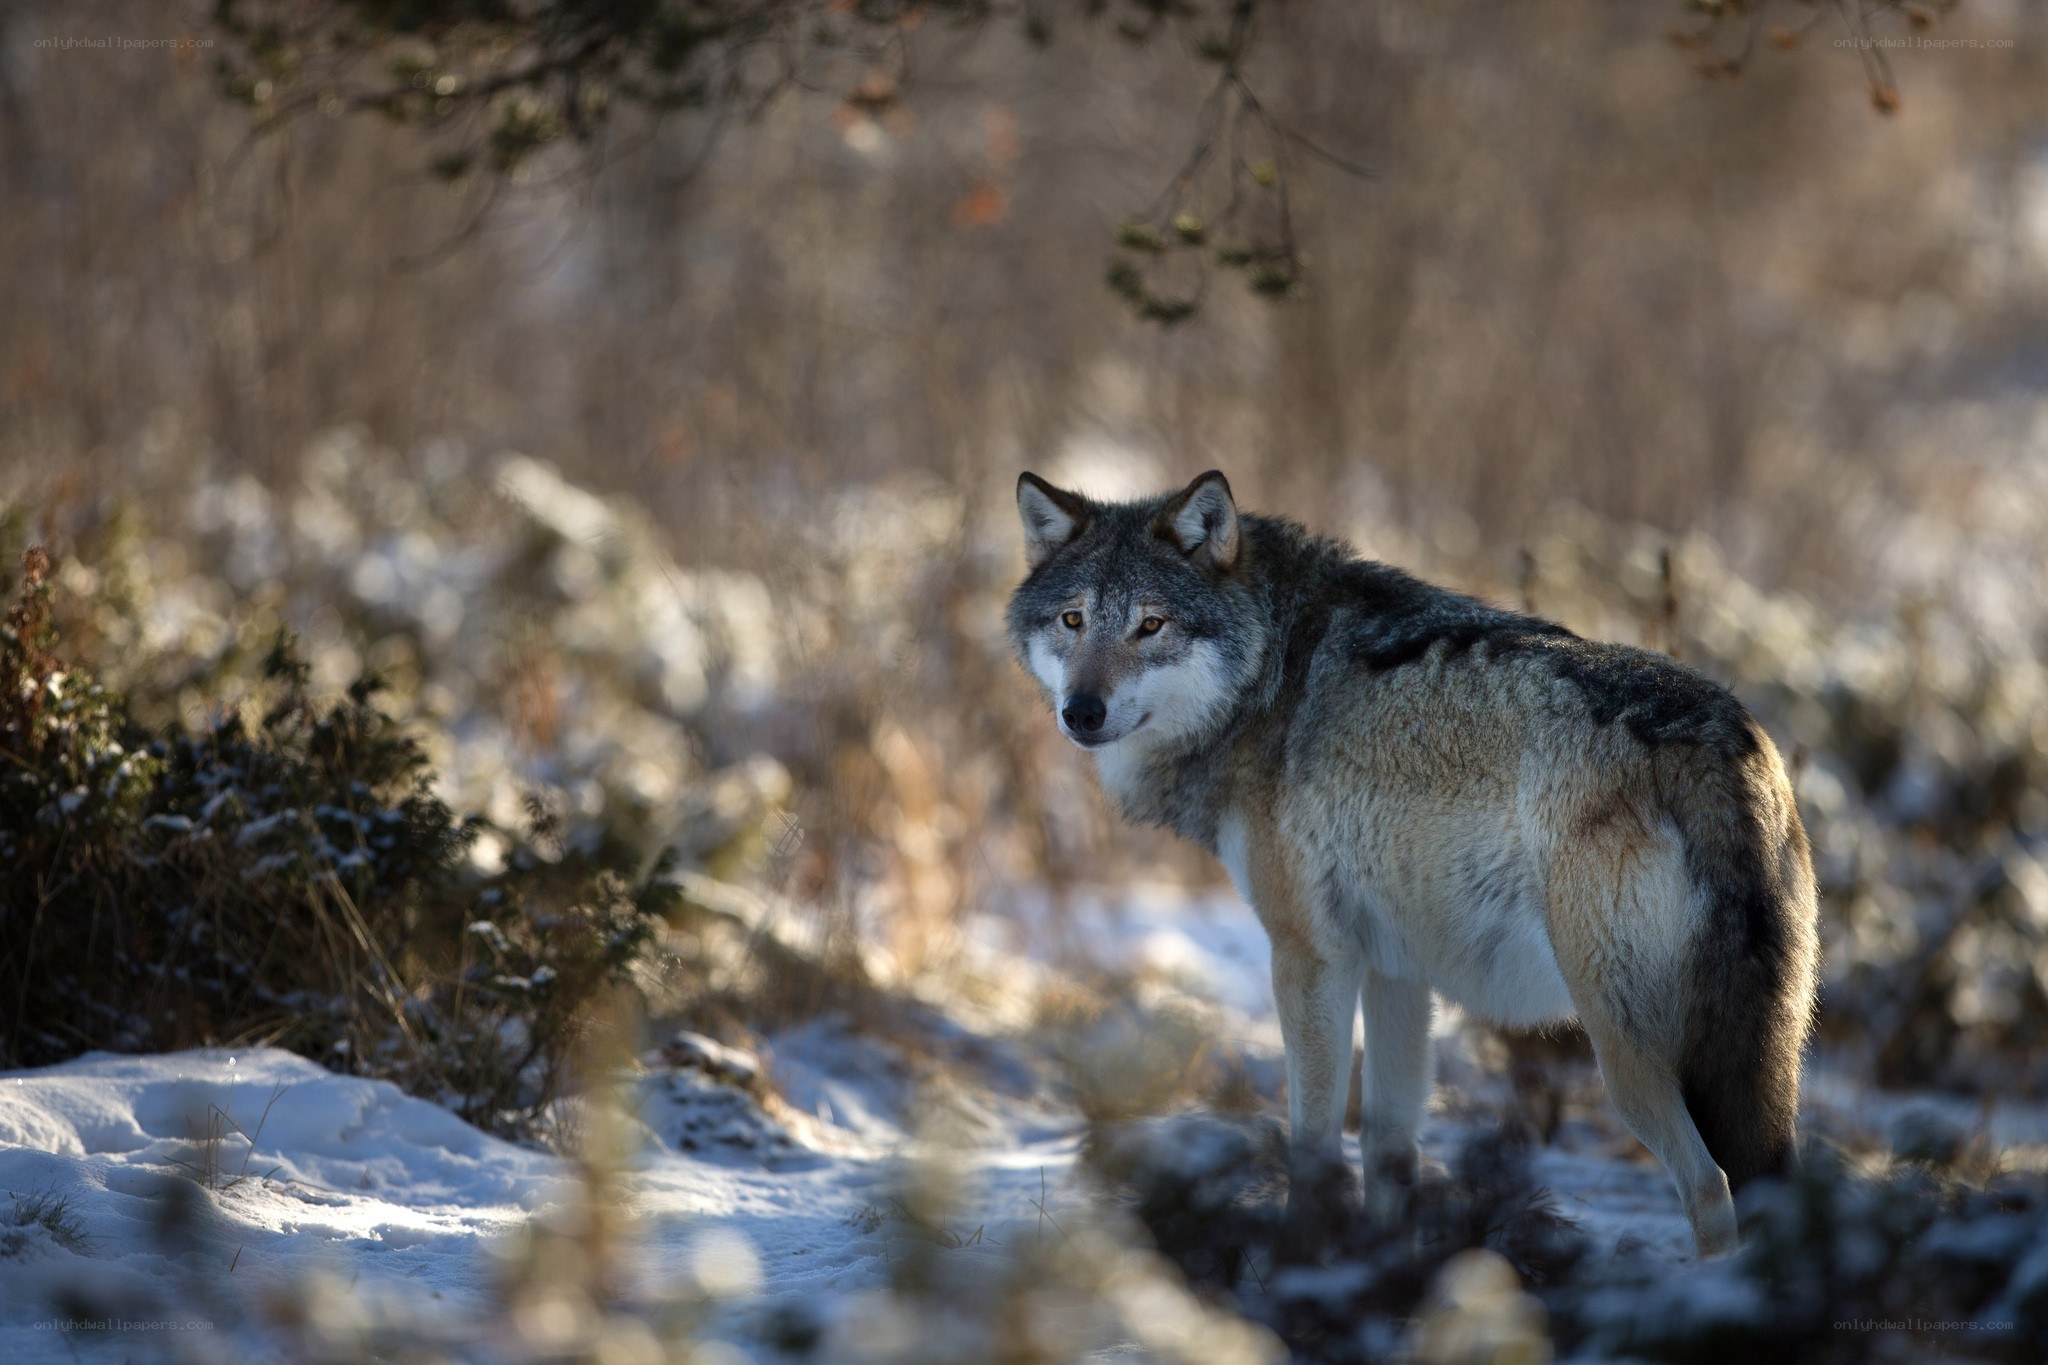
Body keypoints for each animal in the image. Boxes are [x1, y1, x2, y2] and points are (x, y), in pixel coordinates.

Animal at [1007, 469, 1818, 1257]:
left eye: (1151, 625)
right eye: (1073, 621)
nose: (1082, 711)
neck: (1271, 668)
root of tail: (1721, 745)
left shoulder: (1309, 958)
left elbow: (1314, 1145)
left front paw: (1303, 1258)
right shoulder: (1396, 970)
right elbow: (1389, 1152)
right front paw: (1384, 1265)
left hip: (1622, 1056)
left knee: (1710, 1186)